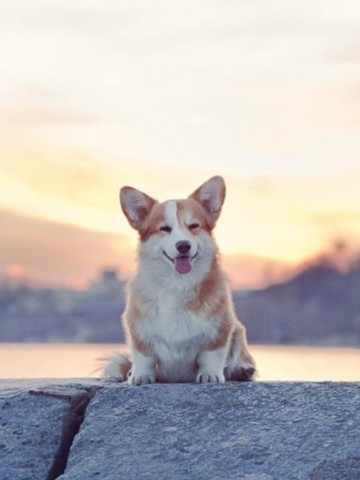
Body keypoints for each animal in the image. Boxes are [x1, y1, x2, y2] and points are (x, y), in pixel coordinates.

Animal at [104, 176, 256, 386]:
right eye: (164, 229)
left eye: (194, 226)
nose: (183, 245)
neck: (178, 283)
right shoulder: (138, 329)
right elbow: (144, 357)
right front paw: (140, 376)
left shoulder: (221, 329)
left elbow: (212, 356)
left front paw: (210, 375)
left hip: (239, 329)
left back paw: (241, 369)